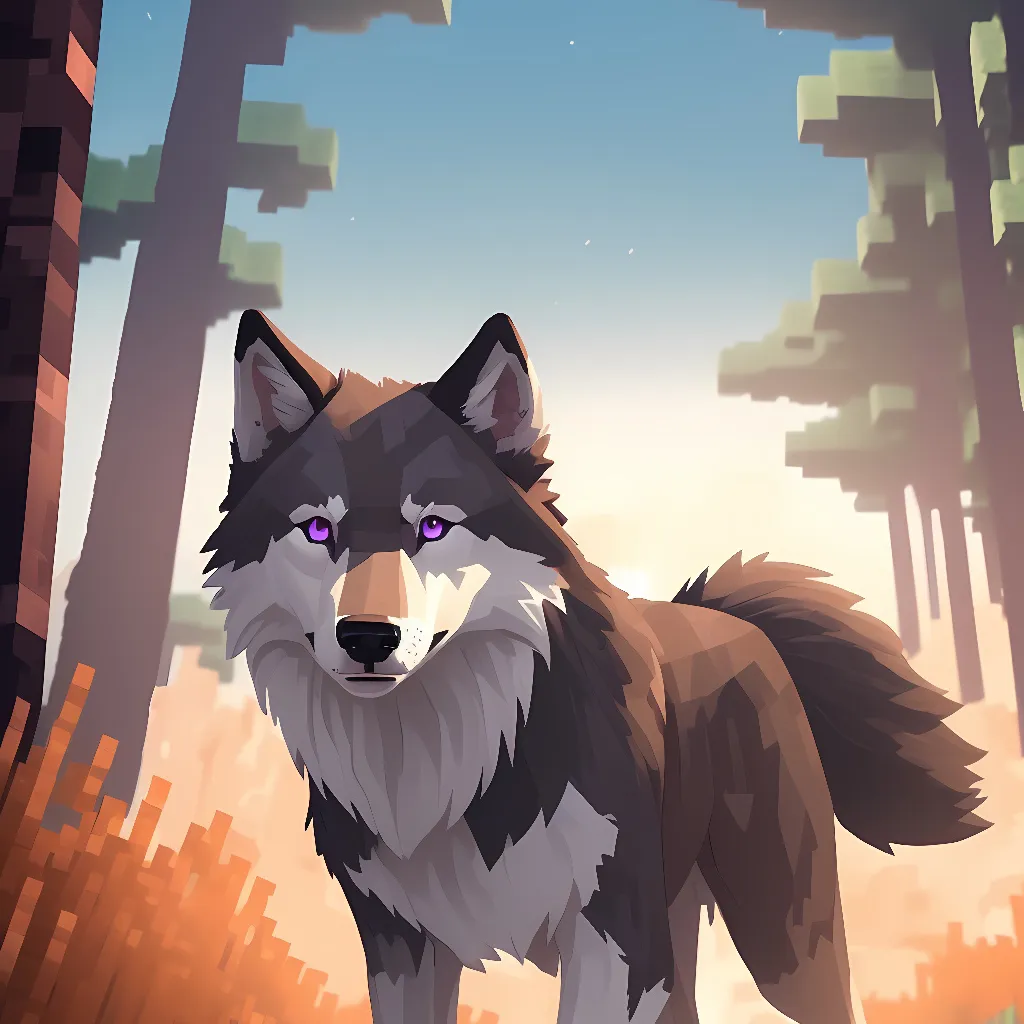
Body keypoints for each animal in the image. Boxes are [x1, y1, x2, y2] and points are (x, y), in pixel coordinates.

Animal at [203, 309, 989, 1024]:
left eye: (433, 526)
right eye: (317, 529)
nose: (368, 637)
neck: (458, 756)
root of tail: (729, 617)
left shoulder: (618, 942)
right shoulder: (401, 948)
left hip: (780, 937)